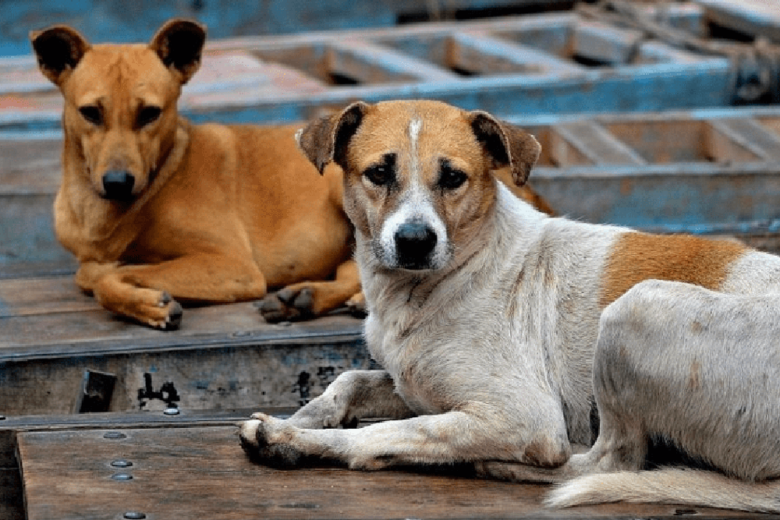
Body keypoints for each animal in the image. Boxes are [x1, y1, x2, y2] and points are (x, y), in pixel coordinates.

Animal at [239, 99, 780, 512]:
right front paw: (303, 418)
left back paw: (503, 465)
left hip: (636, 310)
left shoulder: (523, 417)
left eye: (453, 177)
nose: (414, 241)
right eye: (378, 173)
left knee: (608, 462)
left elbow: (391, 431)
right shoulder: (417, 386)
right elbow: (349, 382)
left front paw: (291, 440)